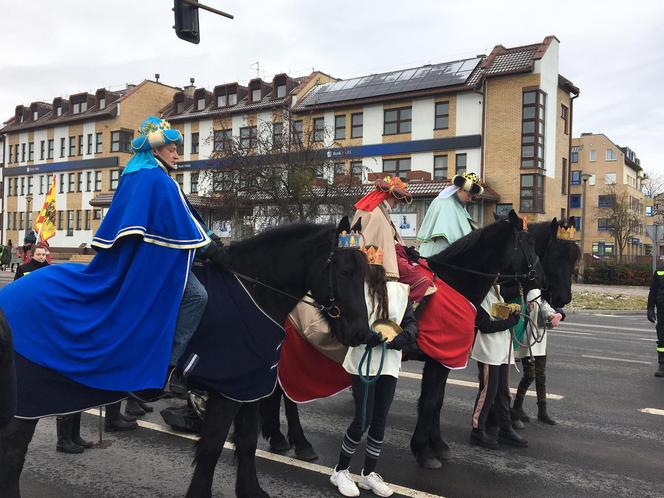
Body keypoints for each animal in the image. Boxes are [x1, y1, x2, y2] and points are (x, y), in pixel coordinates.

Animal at [0, 220, 370, 498]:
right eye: (344, 270)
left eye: (366, 271)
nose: (362, 334)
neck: (254, 292)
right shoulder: (227, 392)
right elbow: (211, 448)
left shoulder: (249, 387)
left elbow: (247, 442)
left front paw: (251, 490)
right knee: (13, 456)